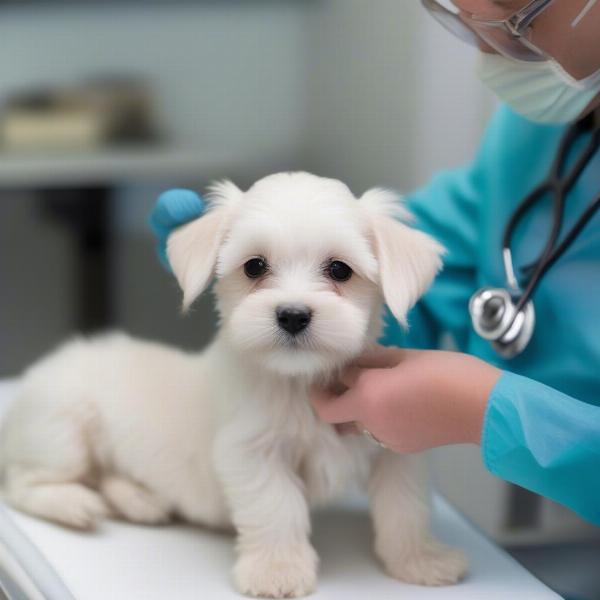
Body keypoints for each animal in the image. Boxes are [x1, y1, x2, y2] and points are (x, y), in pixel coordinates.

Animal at [0, 172, 466, 596]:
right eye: (255, 266)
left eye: (340, 269)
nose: (293, 315)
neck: (297, 382)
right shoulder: (253, 453)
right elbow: (277, 507)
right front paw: (277, 571)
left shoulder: (393, 449)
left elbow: (405, 506)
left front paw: (420, 560)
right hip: (63, 431)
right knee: (24, 484)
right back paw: (74, 504)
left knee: (102, 476)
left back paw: (141, 500)